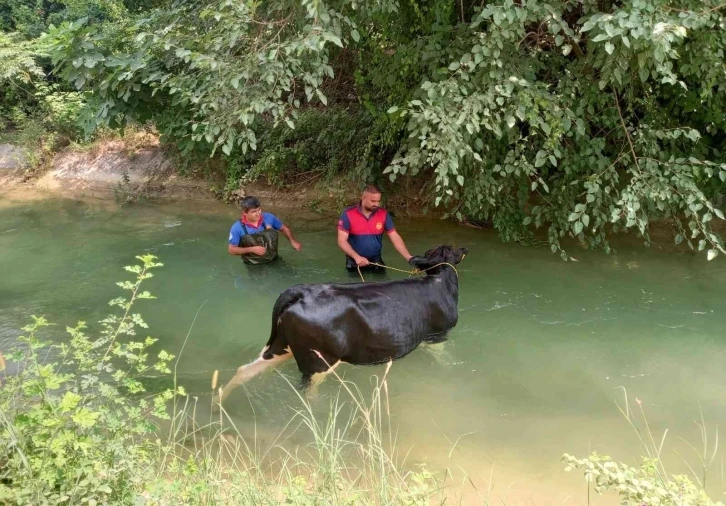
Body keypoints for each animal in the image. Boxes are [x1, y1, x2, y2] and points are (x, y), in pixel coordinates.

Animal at [218, 243, 466, 402]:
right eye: (451, 248)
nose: (464, 249)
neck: (440, 280)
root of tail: (299, 292)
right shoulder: (438, 335)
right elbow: (446, 358)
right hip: (320, 360)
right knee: (307, 391)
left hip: (282, 346)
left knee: (245, 370)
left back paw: (218, 403)